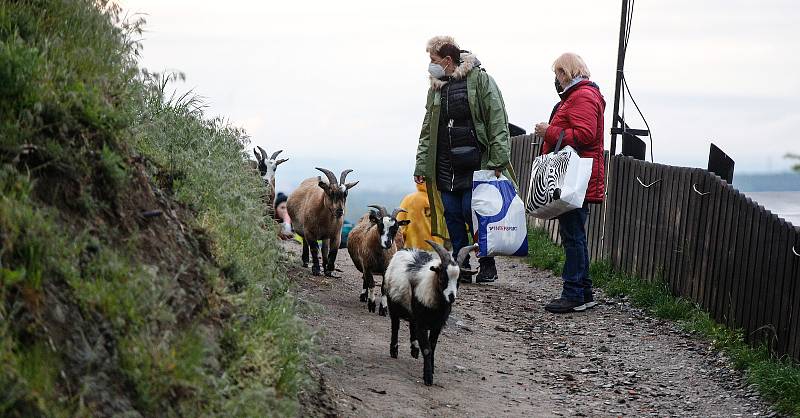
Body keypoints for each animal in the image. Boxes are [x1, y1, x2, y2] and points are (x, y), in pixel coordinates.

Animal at [382, 240, 476, 386]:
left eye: (459, 280)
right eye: (442, 277)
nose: (451, 297)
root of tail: (407, 249)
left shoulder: (437, 325)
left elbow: (432, 347)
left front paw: (431, 370)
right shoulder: (422, 323)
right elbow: (427, 349)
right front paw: (428, 378)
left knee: (411, 325)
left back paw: (414, 350)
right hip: (393, 304)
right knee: (395, 326)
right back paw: (394, 350)